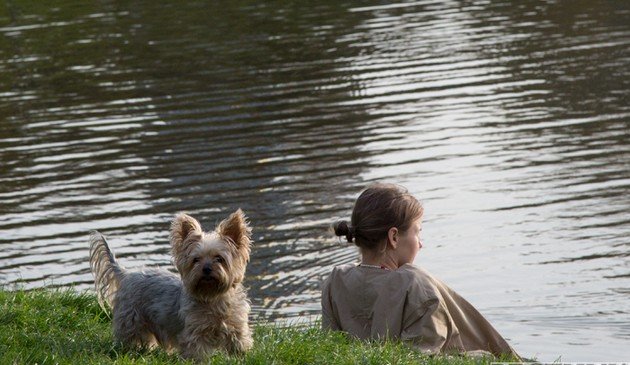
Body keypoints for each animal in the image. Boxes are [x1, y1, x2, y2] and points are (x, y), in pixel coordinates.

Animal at [88, 208, 254, 358]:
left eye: (219, 258)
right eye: (196, 260)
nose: (206, 269)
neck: (213, 296)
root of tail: (125, 274)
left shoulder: (237, 329)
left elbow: (239, 347)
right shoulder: (194, 334)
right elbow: (197, 354)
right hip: (130, 318)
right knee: (127, 336)